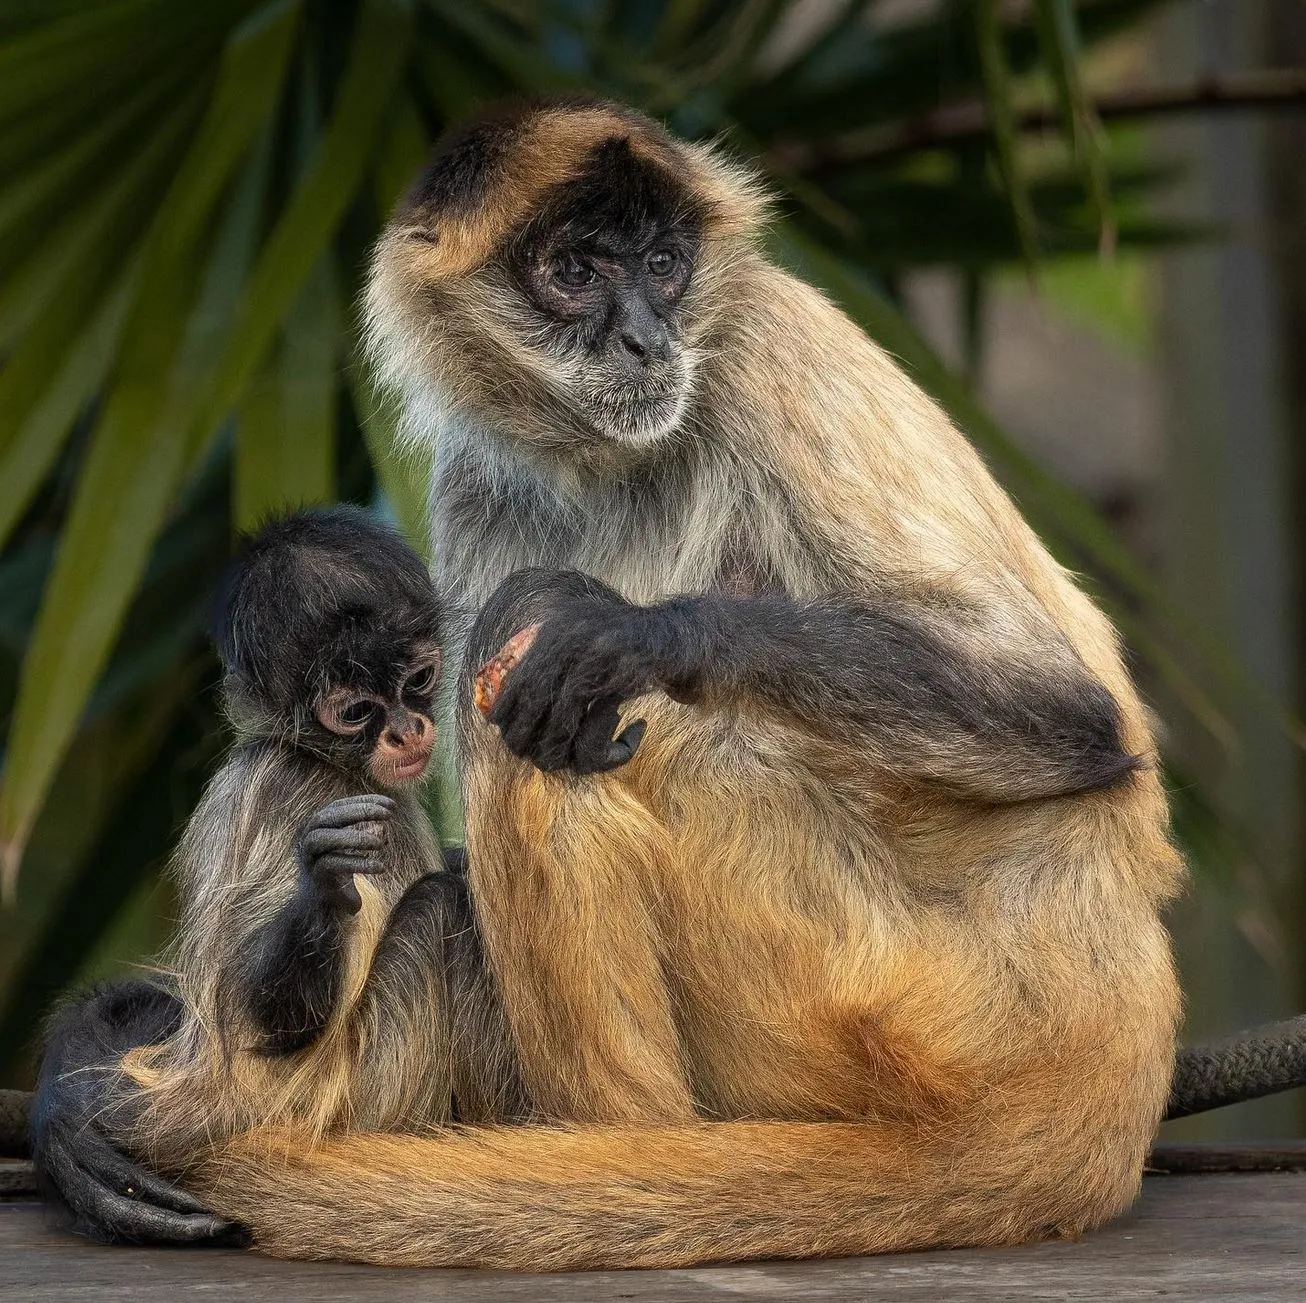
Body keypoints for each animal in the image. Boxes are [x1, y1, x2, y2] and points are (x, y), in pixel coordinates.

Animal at [38, 104, 1185, 1274]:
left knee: (553, 726)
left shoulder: (765, 336)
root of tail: (1116, 1007)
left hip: (910, 989)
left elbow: (1076, 714)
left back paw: (627, 1151)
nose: (646, 337)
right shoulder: (478, 467)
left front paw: (624, 630)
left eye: (664, 265)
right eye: (576, 271)